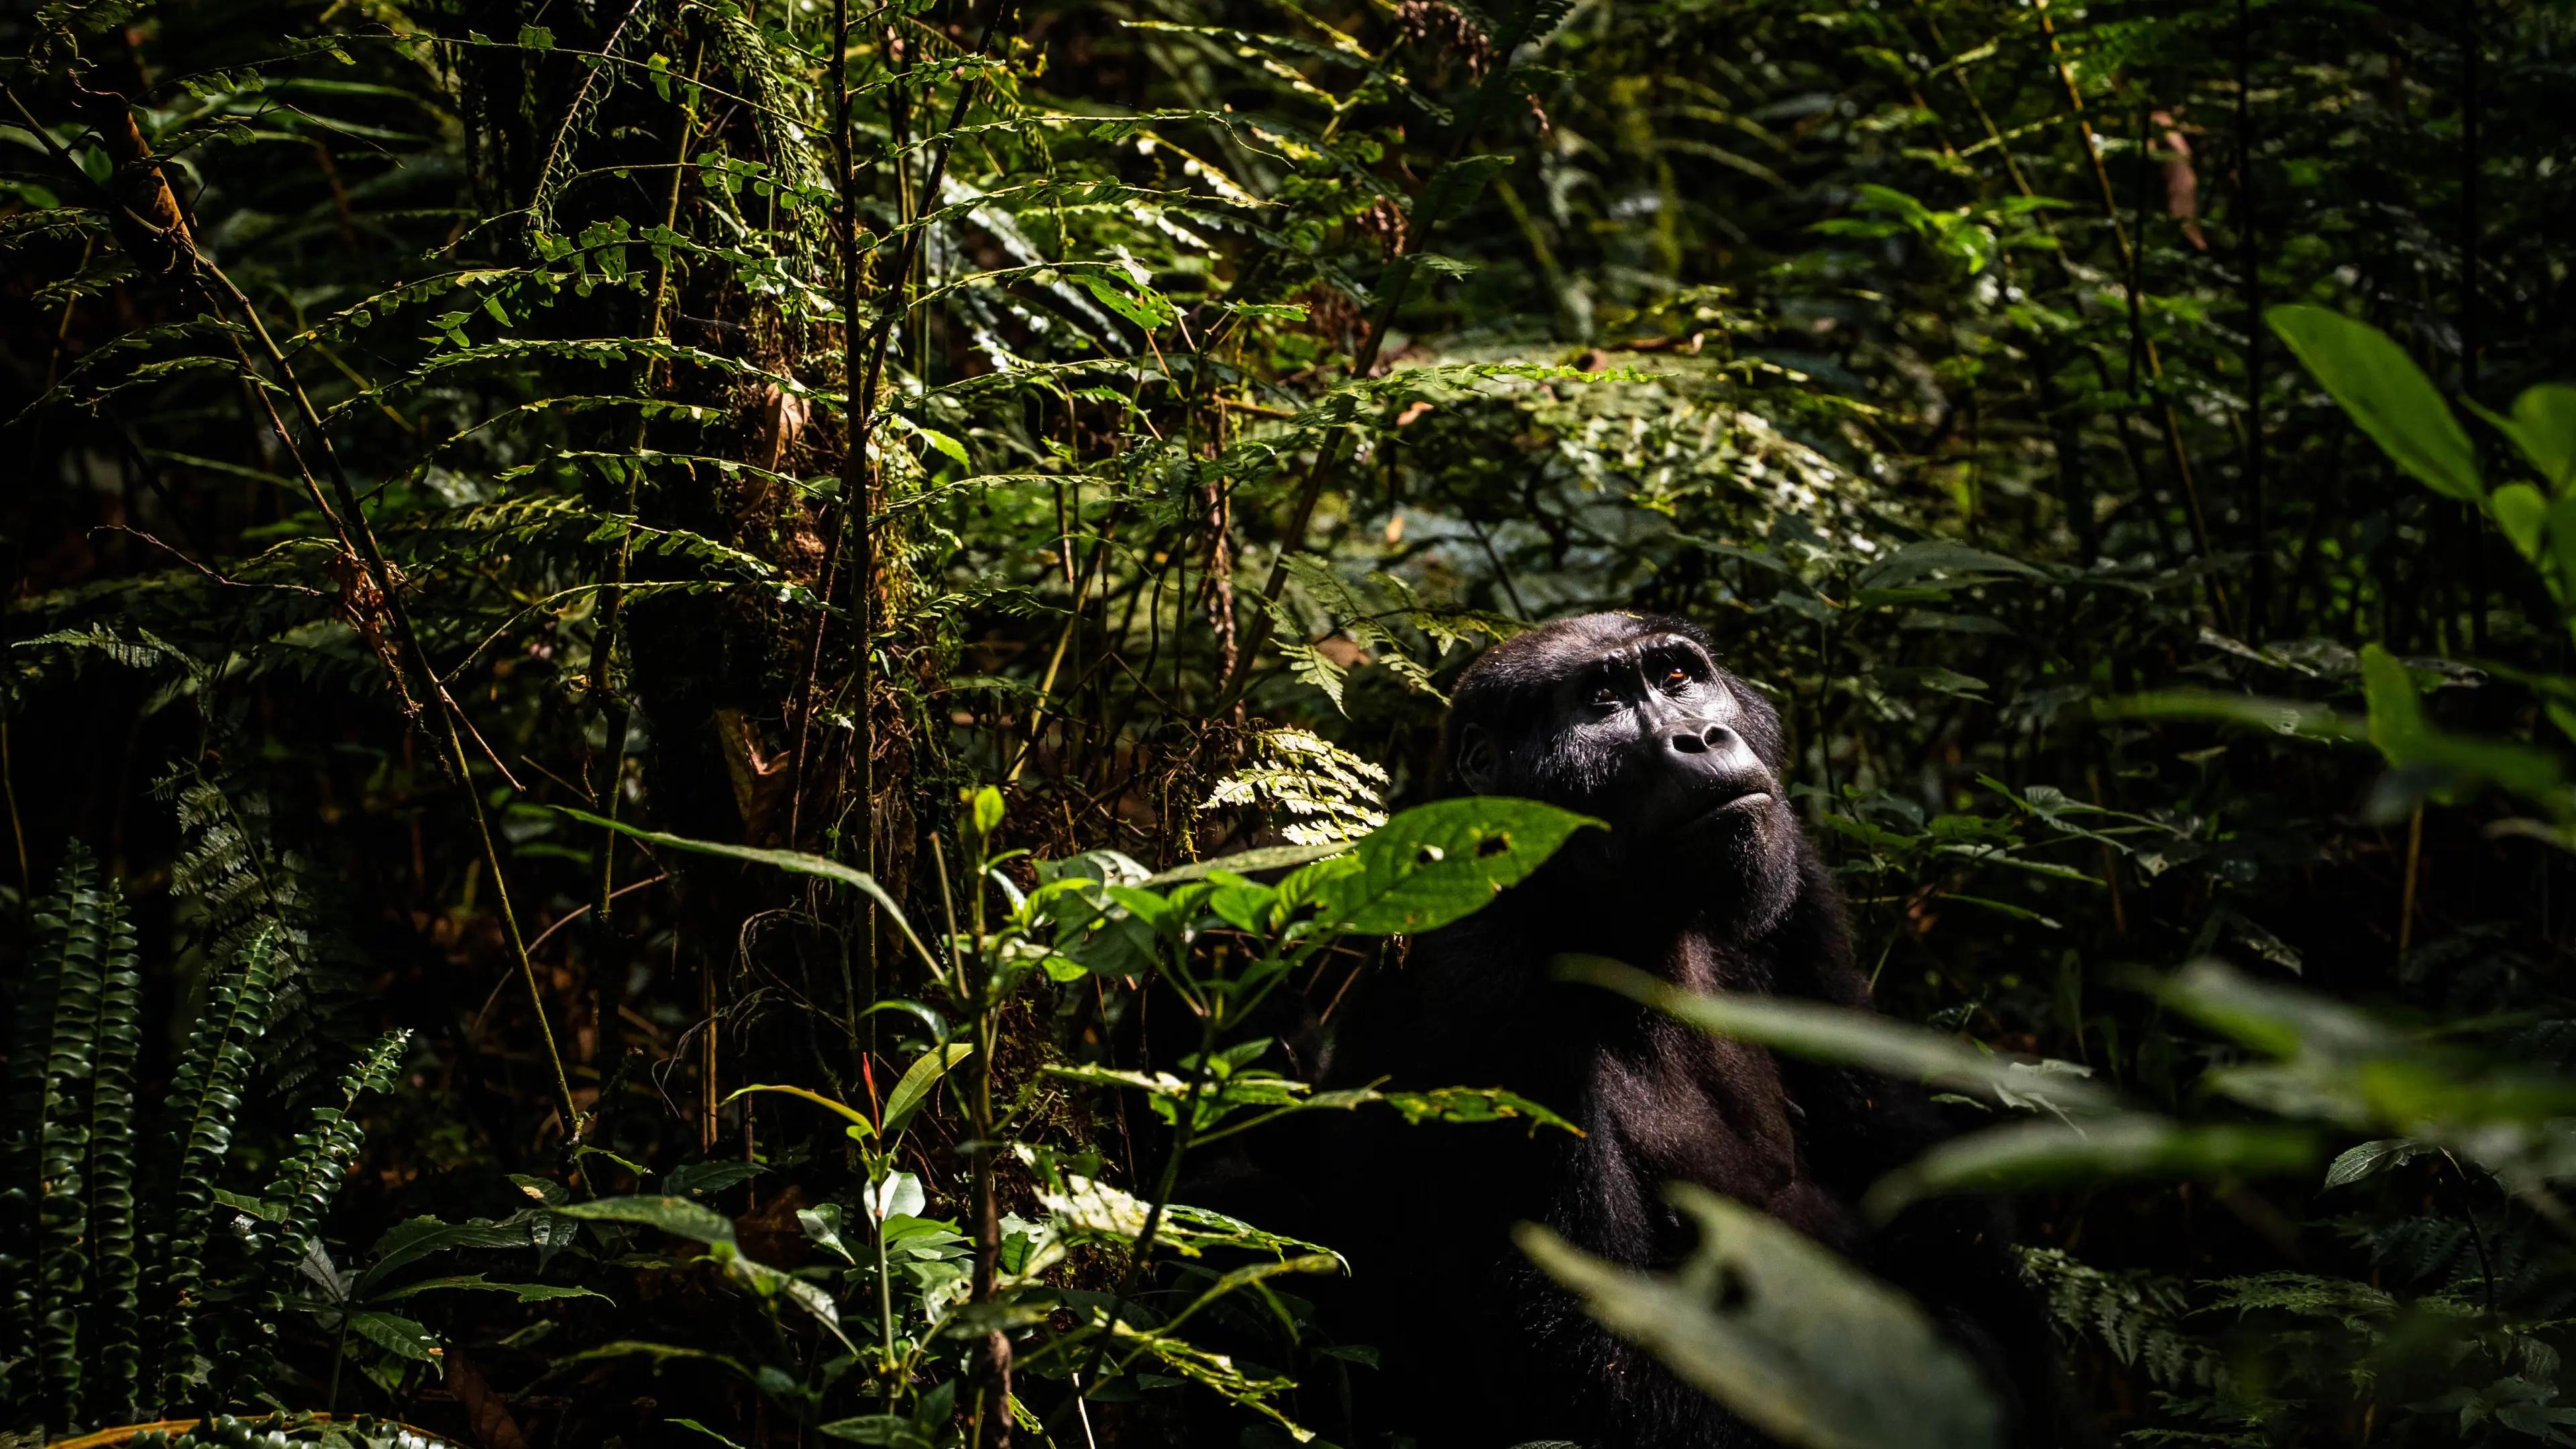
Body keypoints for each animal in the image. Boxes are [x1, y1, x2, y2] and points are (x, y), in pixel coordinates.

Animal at [1324, 612, 2066, 1449]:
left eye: (1679, 677)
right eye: (1605, 700)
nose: (1701, 736)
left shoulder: (1796, 879)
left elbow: (1902, 1160)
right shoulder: (1476, 980)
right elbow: (1582, 1357)